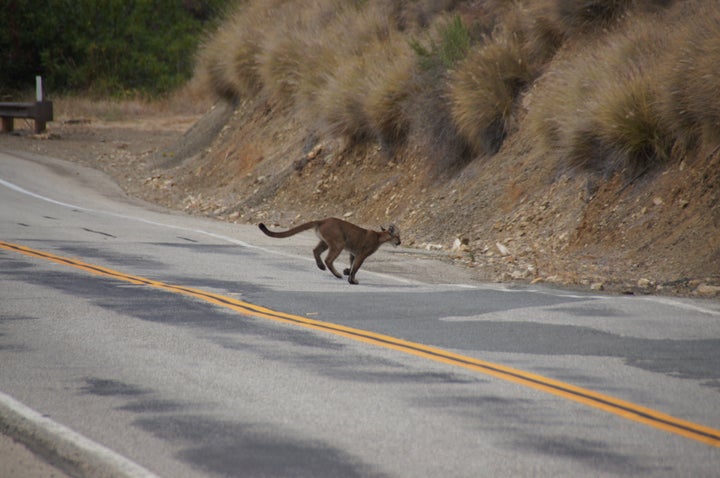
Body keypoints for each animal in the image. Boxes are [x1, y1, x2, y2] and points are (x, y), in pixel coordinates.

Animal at [258, 218, 402, 284]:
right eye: (398, 236)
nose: (400, 242)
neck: (379, 237)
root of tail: (323, 220)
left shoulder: (353, 253)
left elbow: (352, 265)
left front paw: (347, 272)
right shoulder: (362, 254)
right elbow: (356, 267)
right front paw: (352, 280)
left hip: (326, 242)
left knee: (315, 251)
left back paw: (321, 266)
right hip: (338, 243)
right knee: (328, 259)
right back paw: (336, 274)